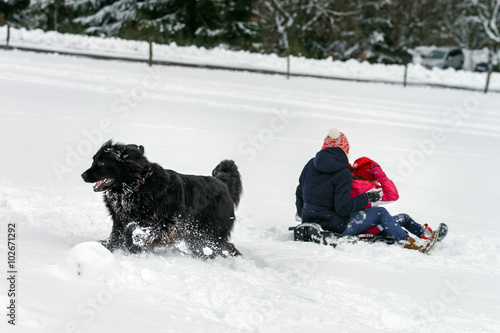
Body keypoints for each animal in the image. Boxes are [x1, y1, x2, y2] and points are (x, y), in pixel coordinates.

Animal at [81, 139, 242, 256]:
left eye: (102, 162)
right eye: (94, 160)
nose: (83, 175)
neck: (136, 187)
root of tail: (223, 183)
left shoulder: (168, 223)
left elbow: (143, 233)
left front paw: (136, 242)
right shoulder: (121, 219)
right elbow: (118, 235)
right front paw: (101, 248)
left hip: (208, 233)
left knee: (221, 246)